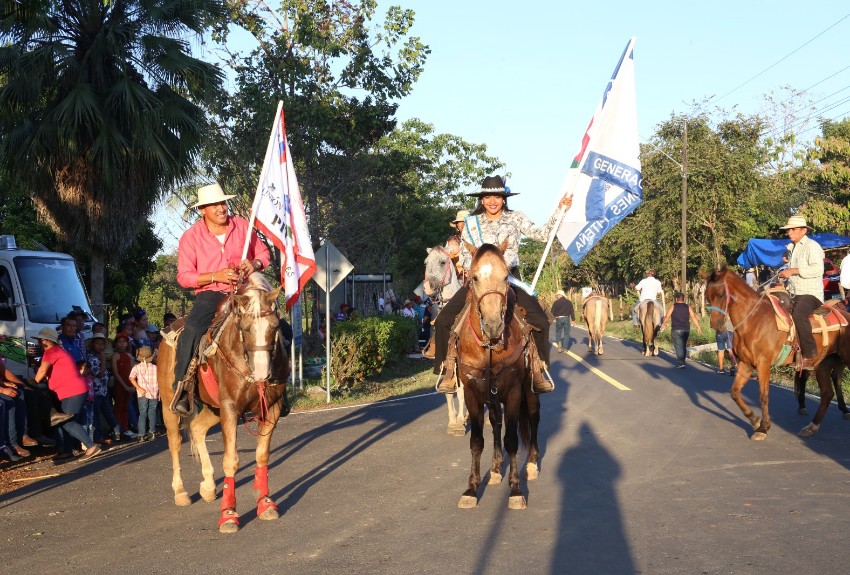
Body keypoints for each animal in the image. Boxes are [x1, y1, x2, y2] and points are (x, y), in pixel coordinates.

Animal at [157, 272, 290, 532]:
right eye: (245, 327)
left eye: (275, 326)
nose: (262, 373)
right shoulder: (230, 407)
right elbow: (231, 462)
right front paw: (228, 515)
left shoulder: (272, 408)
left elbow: (262, 456)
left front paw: (265, 503)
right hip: (171, 406)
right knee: (175, 443)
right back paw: (181, 492)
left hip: (213, 407)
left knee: (197, 429)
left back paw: (208, 485)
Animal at [454, 241, 540, 510]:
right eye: (474, 277)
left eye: (505, 277)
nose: (493, 326)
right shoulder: (472, 394)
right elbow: (477, 440)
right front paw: (471, 489)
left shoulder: (513, 393)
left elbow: (512, 439)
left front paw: (515, 489)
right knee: (495, 423)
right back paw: (494, 469)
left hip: (530, 391)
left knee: (533, 418)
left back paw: (532, 464)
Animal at [704, 268, 850, 440]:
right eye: (707, 296)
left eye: (721, 294)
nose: (716, 324)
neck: (753, 320)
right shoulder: (746, 363)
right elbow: (734, 392)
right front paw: (754, 420)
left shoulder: (763, 364)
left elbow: (763, 395)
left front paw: (763, 428)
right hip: (823, 364)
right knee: (827, 393)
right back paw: (811, 426)